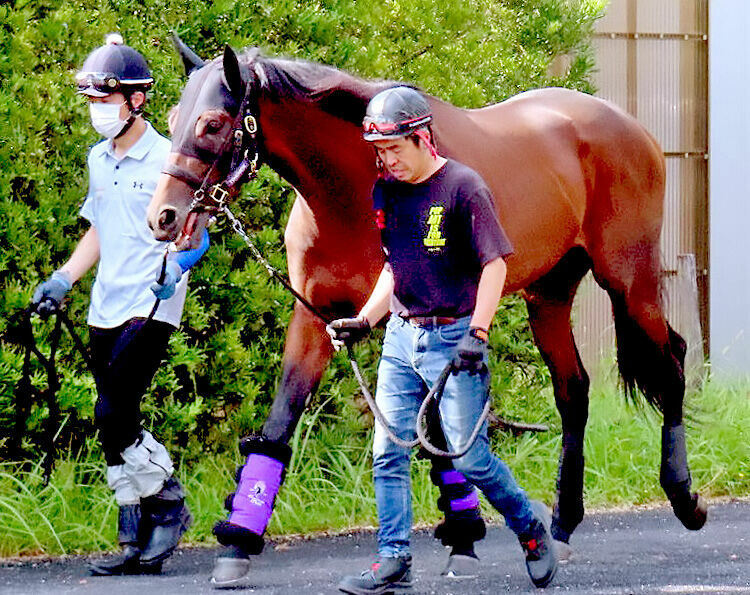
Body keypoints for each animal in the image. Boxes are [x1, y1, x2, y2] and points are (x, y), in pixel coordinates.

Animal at [148, 40, 712, 572]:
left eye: (212, 123)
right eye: (172, 120)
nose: (163, 217)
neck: (352, 189)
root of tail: (633, 129)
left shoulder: (417, 319)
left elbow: (433, 430)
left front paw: (462, 534)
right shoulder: (317, 317)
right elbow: (280, 423)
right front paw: (238, 542)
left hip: (630, 282)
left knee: (672, 364)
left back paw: (684, 496)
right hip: (549, 294)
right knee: (574, 391)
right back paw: (563, 525)